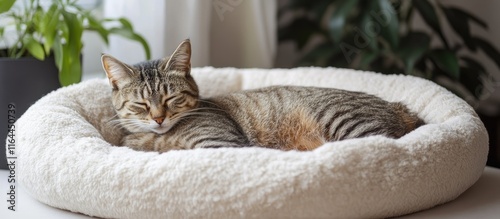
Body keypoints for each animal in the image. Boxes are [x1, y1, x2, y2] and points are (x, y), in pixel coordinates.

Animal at [101, 39, 422, 152]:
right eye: (141, 104)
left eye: (171, 99)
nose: (158, 119)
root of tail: (399, 107)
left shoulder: (219, 145)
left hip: (346, 123)